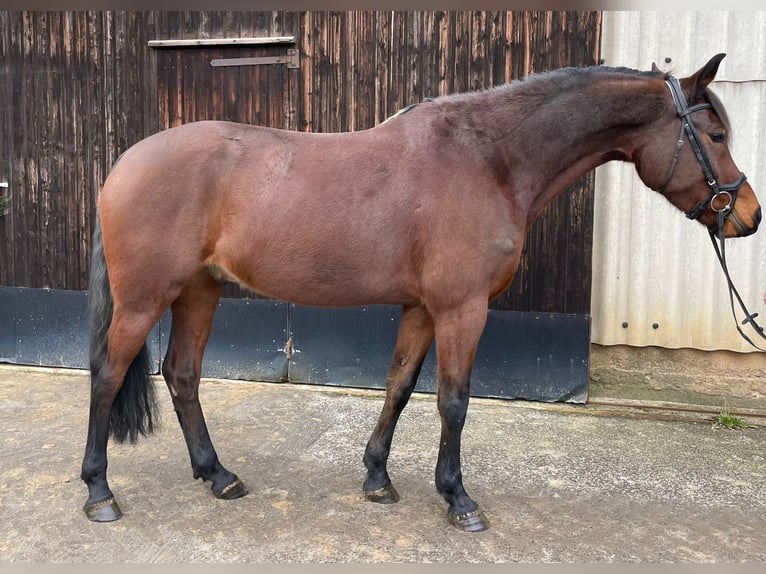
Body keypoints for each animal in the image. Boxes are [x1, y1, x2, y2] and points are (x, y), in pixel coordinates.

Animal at [79, 55, 760, 536]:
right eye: (715, 134)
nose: (749, 216)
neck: (488, 160)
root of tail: (123, 165)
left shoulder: (423, 309)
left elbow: (400, 388)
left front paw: (377, 477)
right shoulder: (463, 309)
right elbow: (453, 402)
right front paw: (458, 498)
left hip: (199, 291)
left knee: (182, 373)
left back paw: (217, 474)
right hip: (144, 299)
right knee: (108, 374)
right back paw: (99, 492)